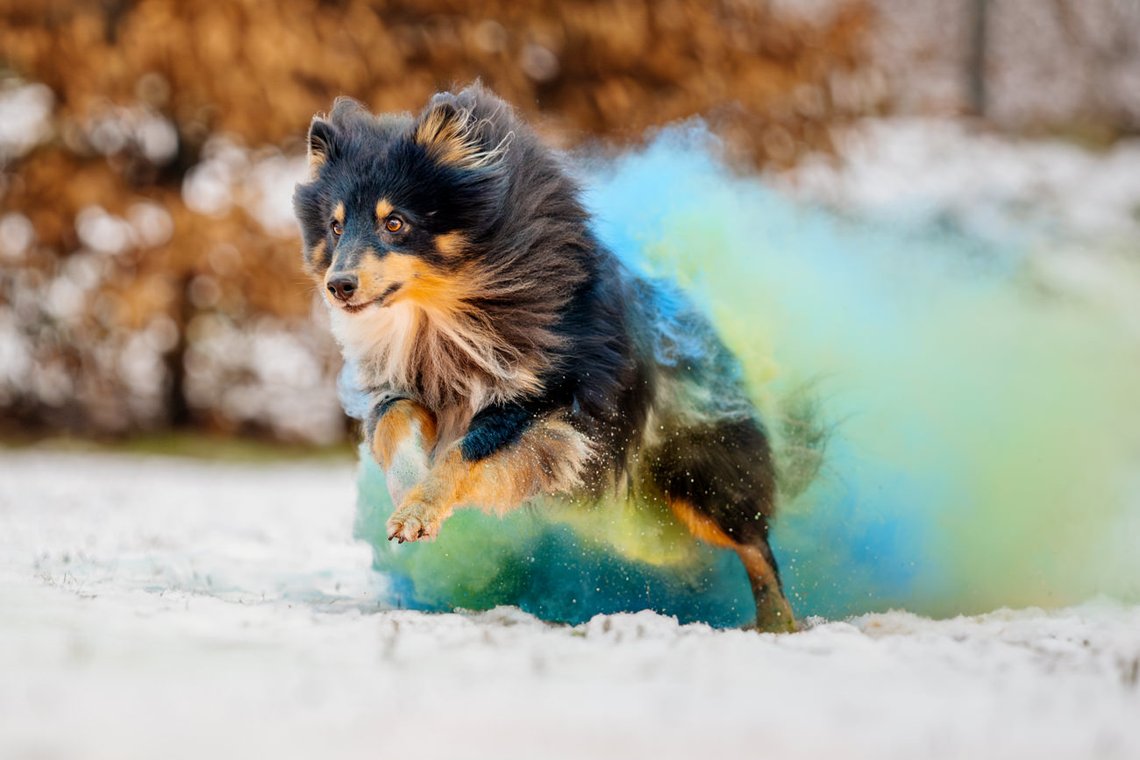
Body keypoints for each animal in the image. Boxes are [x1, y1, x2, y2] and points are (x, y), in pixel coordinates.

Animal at [289, 83, 798, 633]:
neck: (442, 315)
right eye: (336, 227)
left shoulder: (542, 401)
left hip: (698, 471)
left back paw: (778, 622)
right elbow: (396, 426)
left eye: (395, 222)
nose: (338, 286)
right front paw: (407, 499)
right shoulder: (408, 386)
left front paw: (419, 511)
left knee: (754, 542)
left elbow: (464, 453)